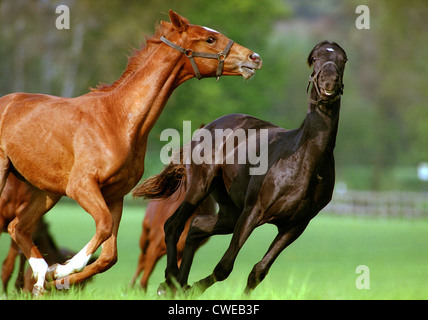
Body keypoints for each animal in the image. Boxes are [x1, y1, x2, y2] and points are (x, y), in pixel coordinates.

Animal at [0, 9, 260, 296]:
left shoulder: (115, 195)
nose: (254, 58)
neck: (119, 120)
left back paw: (40, 276)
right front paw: (61, 269)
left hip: (45, 192)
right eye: (210, 39)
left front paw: (54, 278)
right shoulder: (81, 187)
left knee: (18, 227)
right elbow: (103, 227)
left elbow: (108, 257)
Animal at [134, 40, 348, 296]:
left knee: (195, 227)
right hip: (200, 189)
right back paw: (170, 282)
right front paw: (192, 286)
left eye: (343, 59)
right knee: (173, 226)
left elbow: (258, 272)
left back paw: (180, 284)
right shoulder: (253, 212)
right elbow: (224, 266)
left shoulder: (295, 226)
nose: (329, 82)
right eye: (315, 58)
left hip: (229, 212)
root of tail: (207, 127)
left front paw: (192, 287)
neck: (303, 162)